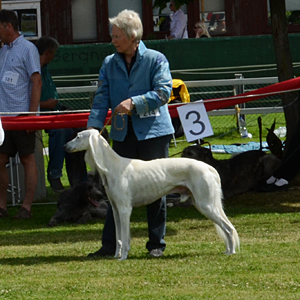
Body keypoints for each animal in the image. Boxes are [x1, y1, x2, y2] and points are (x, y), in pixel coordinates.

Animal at [65, 129, 239, 260]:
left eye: (78, 136)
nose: (65, 146)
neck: (112, 166)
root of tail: (209, 168)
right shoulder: (115, 209)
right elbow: (119, 237)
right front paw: (116, 255)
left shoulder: (125, 209)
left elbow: (125, 237)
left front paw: (123, 257)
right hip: (203, 203)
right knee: (226, 227)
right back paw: (227, 250)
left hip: (206, 204)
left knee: (229, 228)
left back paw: (231, 252)